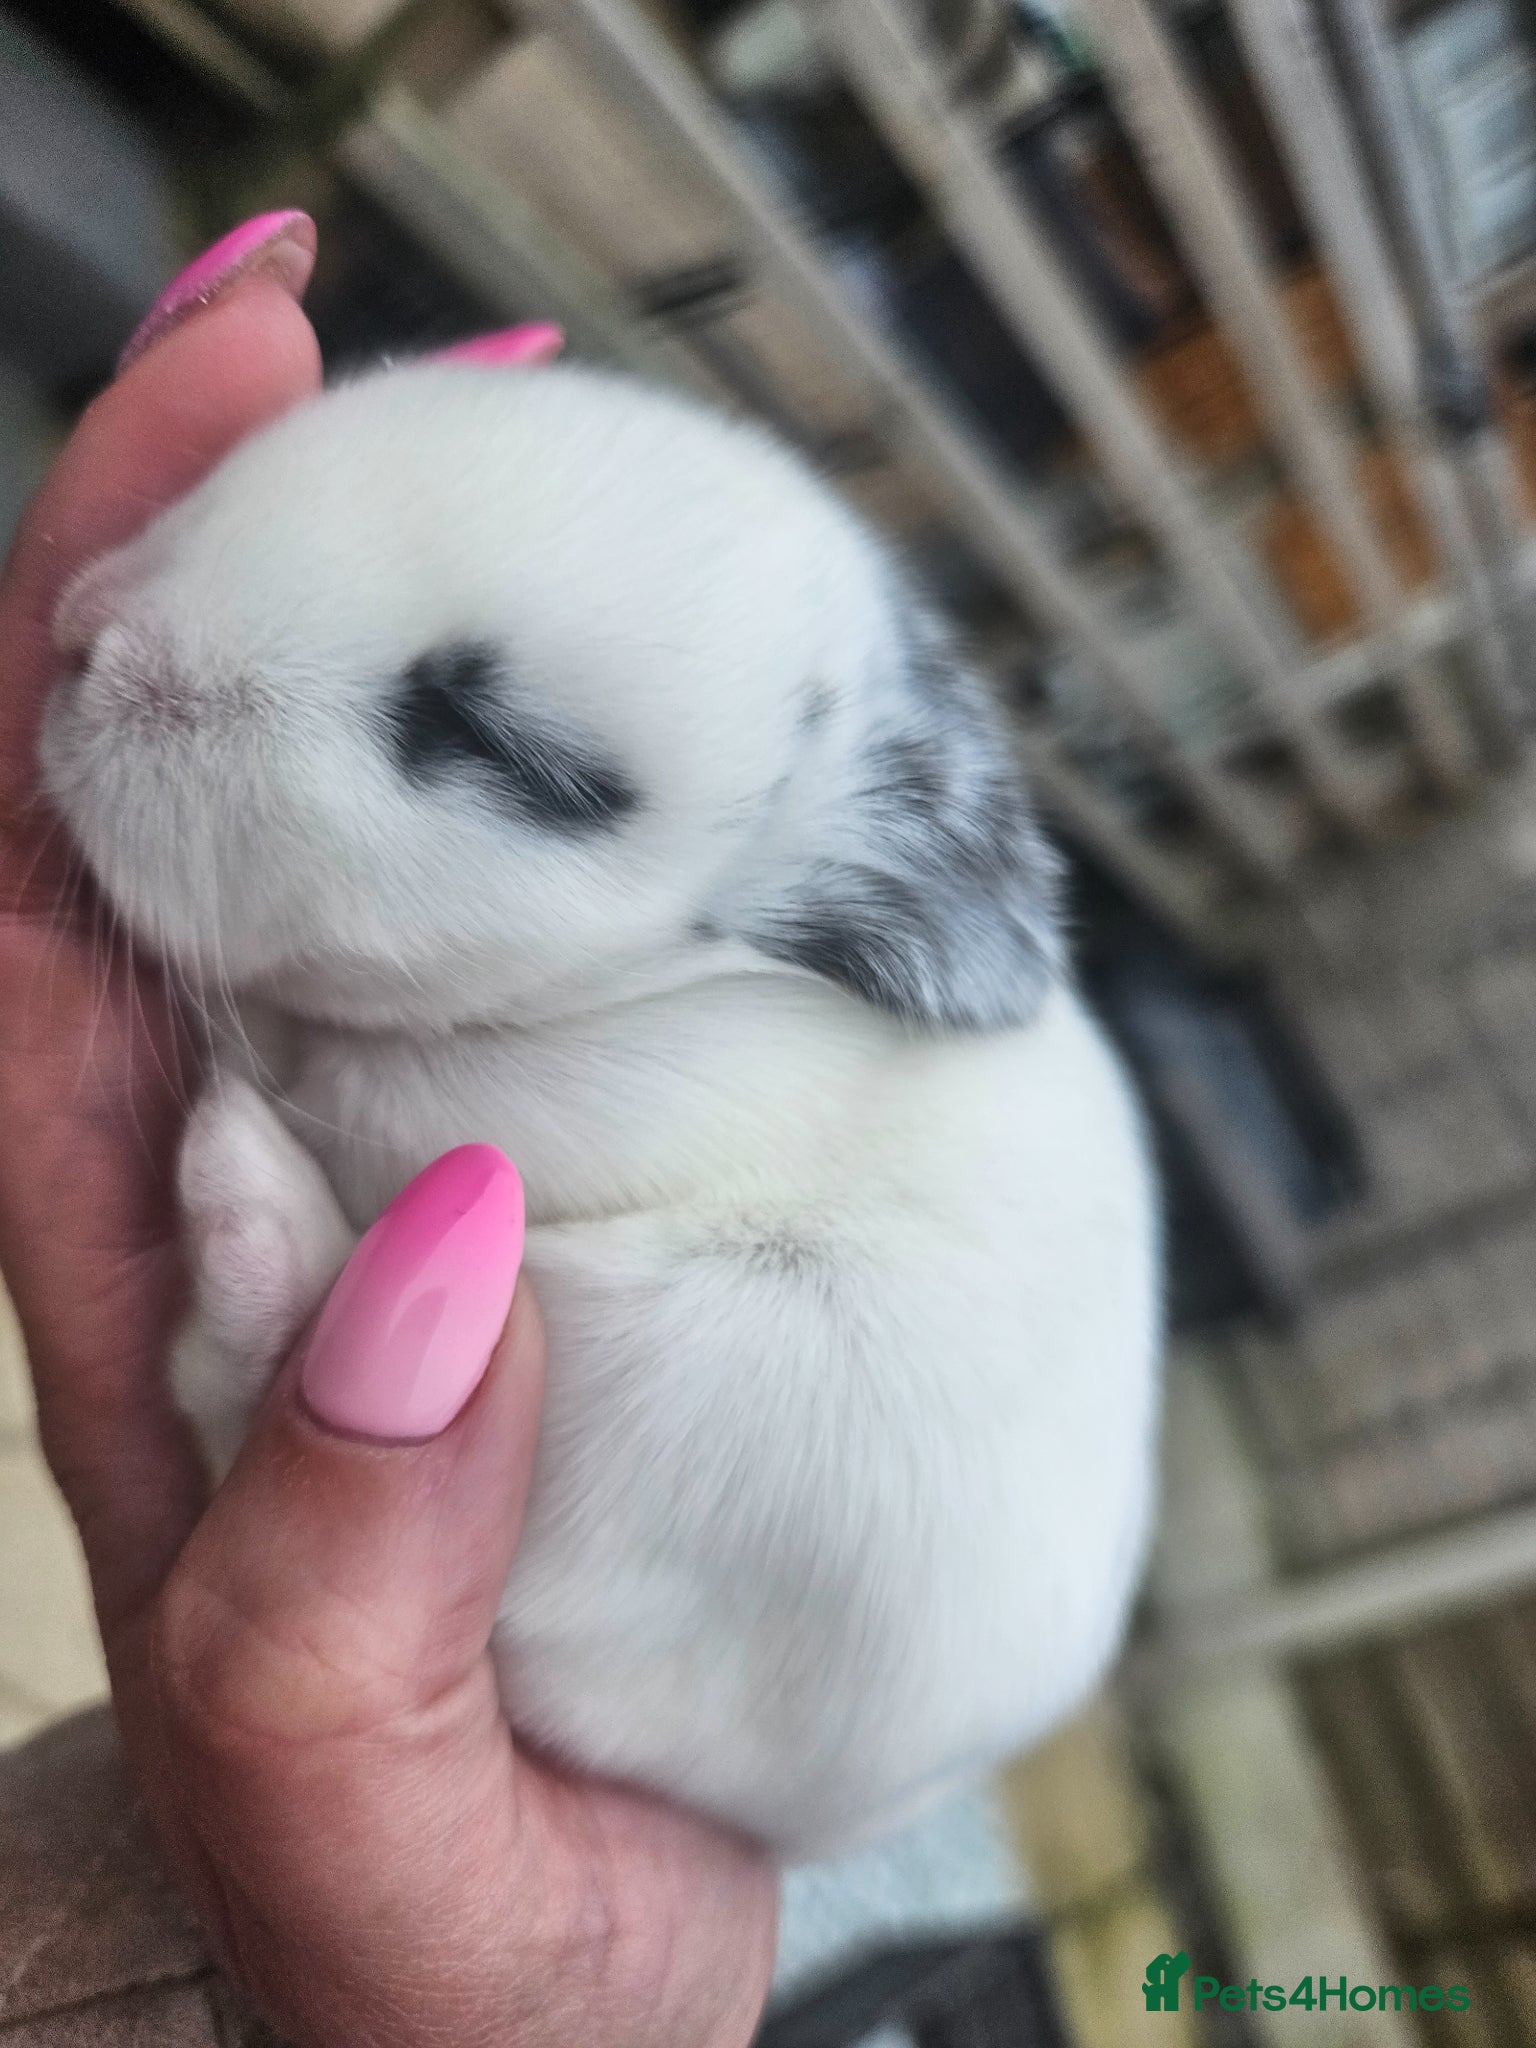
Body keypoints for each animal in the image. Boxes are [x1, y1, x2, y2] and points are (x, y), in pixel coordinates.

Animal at [39, 360, 1161, 1858]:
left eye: (489, 742)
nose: (81, 633)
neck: (650, 997)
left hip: (670, 1392)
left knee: (243, 1378)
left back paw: (245, 1198)